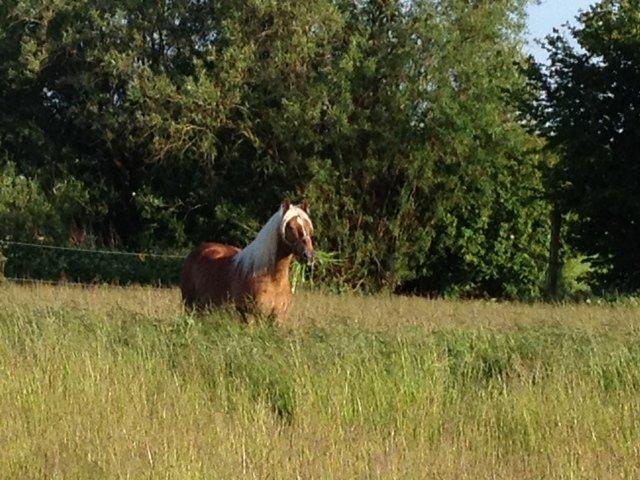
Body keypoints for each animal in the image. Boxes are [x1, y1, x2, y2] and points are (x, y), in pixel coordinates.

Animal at [180, 201, 316, 320]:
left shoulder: (278, 319)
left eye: (309, 228)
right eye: (291, 227)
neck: (272, 279)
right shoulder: (251, 316)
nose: (308, 256)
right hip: (191, 307)